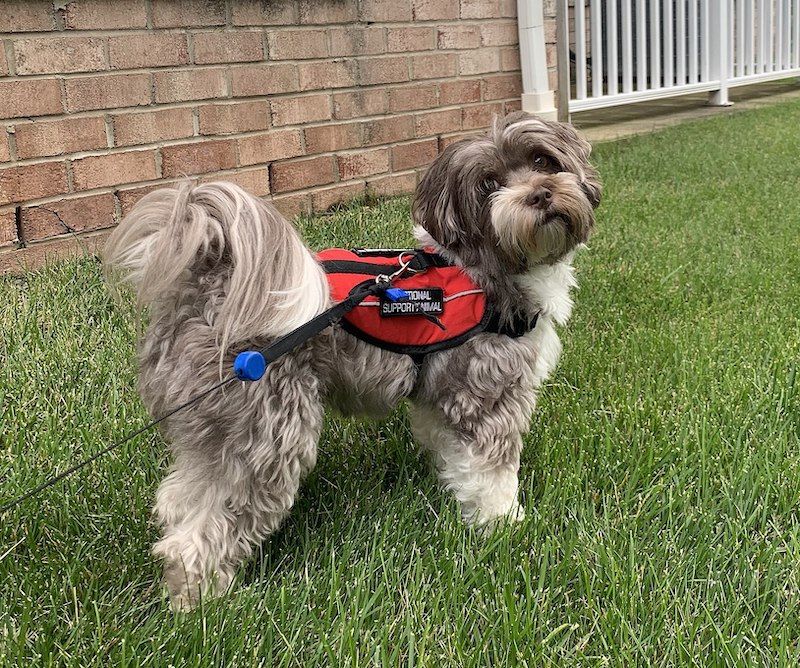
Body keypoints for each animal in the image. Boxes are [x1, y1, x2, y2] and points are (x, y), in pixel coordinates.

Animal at [103, 111, 600, 612]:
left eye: (542, 160)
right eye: (489, 185)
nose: (541, 193)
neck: (485, 268)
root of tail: (209, 284)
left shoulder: (438, 397)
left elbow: (453, 455)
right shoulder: (487, 394)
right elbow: (493, 473)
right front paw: (505, 524)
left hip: (211, 432)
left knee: (178, 500)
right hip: (267, 434)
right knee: (200, 534)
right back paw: (199, 604)